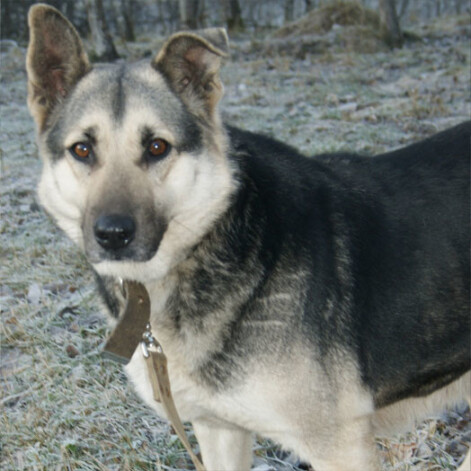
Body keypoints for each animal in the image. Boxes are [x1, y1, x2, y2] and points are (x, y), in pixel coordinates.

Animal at [27, 4, 470, 471]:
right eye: (82, 150)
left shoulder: (341, 446)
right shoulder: (218, 429)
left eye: (157, 147)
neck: (210, 238)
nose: (112, 234)